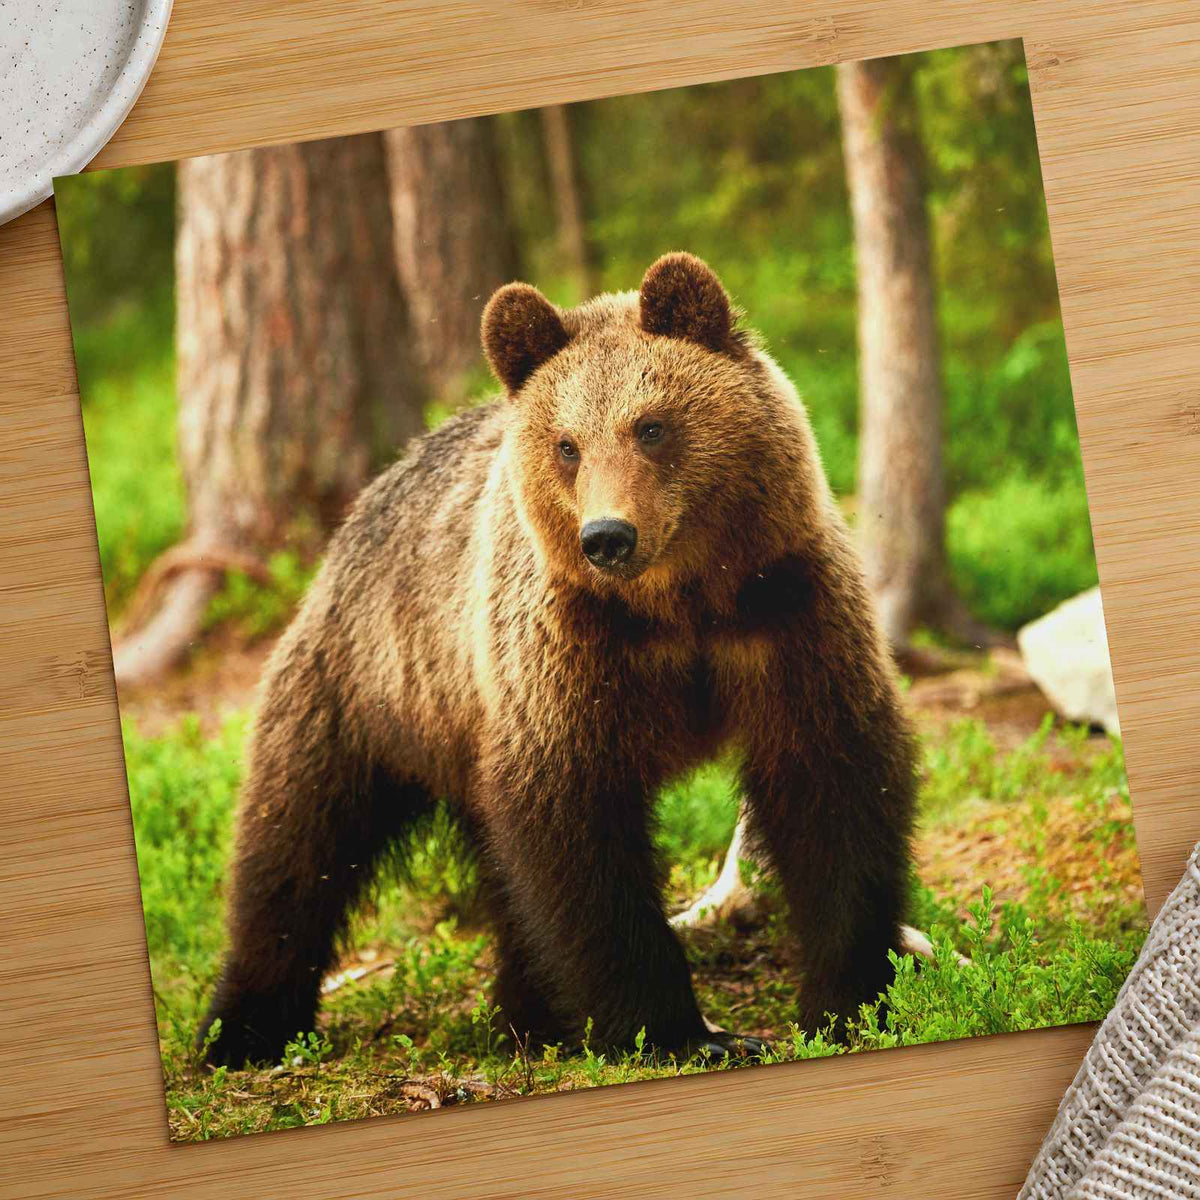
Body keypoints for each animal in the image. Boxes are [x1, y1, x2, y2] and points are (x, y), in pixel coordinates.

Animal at [199, 252, 918, 1068]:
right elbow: (576, 832)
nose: (607, 536)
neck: (682, 606)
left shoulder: (787, 616)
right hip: (368, 686)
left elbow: (832, 787)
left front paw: (847, 1000)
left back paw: (528, 1012)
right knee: (294, 845)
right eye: (567, 445)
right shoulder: (566, 655)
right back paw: (242, 1027)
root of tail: (352, 518)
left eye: (651, 426)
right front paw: (677, 1029)